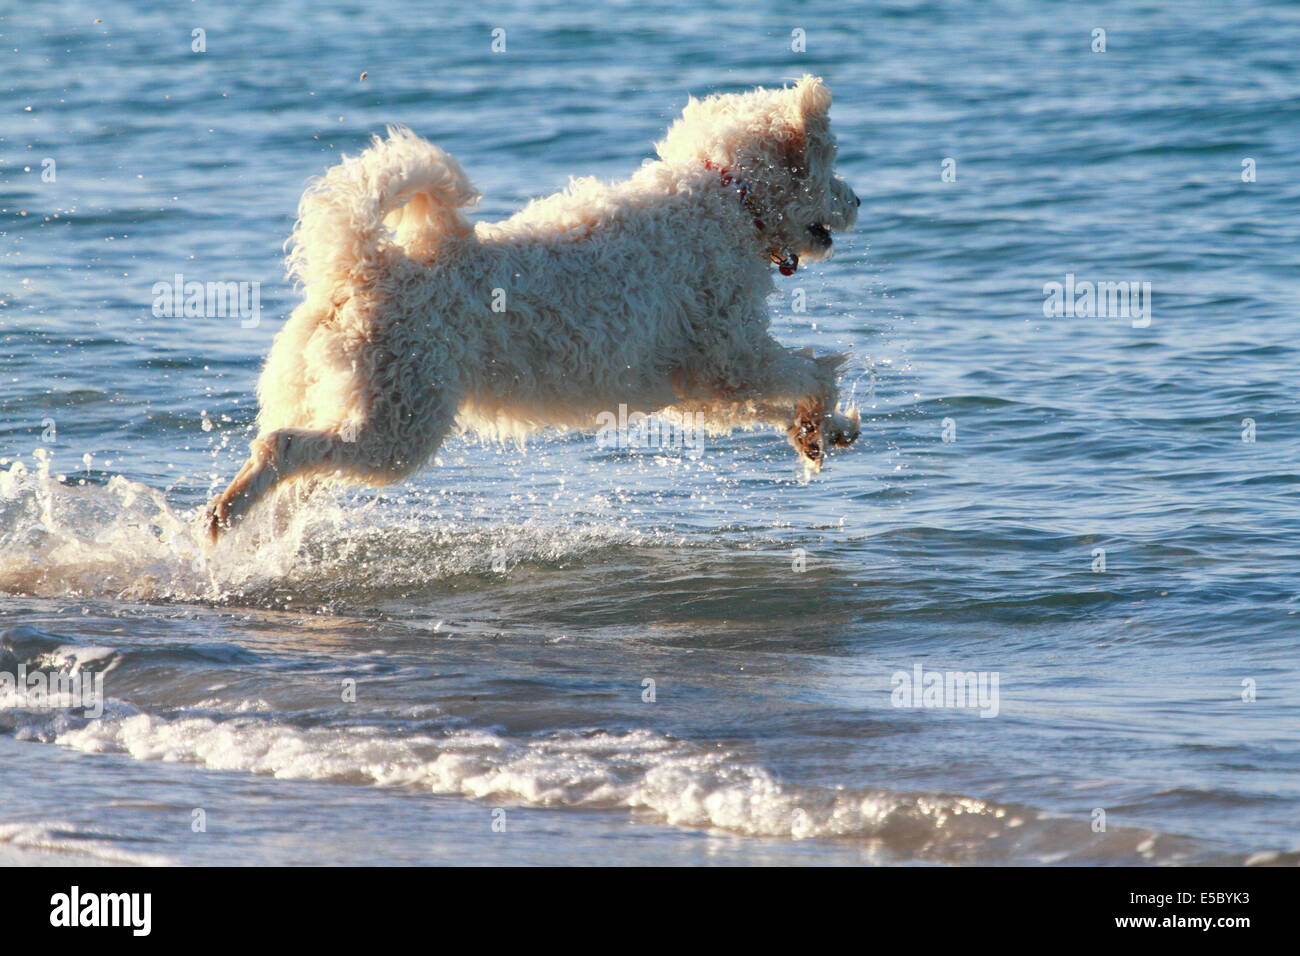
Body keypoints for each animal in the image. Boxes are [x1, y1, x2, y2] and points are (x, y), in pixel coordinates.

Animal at [205, 76, 863, 538]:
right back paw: (224, 517)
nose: (858, 201)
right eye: (830, 165)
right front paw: (823, 413)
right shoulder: (733, 353)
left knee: (295, 466)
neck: (726, 197)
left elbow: (772, 401)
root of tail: (364, 263)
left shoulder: (700, 383)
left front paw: (820, 430)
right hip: (397, 425)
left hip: (339, 398)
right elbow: (809, 371)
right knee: (282, 448)